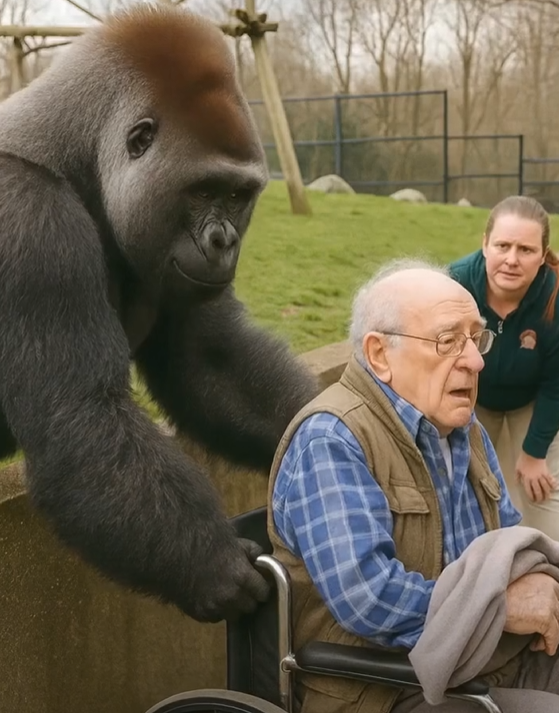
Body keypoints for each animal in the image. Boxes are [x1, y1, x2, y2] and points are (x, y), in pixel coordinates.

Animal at [0, 3, 319, 623]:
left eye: (238, 196)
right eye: (203, 192)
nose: (223, 243)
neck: (73, 153)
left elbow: (208, 364)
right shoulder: (24, 219)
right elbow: (78, 416)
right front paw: (211, 562)